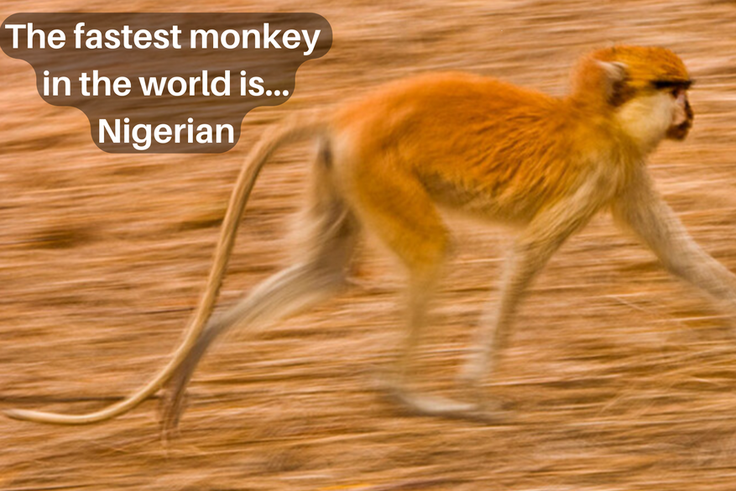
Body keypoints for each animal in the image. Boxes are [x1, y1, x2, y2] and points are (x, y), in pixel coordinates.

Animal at [7, 45, 732, 433]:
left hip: (344, 170)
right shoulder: (602, 167)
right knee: (432, 256)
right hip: (377, 168)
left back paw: (204, 346)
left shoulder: (623, 169)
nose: (691, 112)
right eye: (672, 89)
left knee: (326, 269)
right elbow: (525, 257)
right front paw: (477, 391)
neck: (595, 116)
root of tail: (346, 113)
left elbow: (678, 254)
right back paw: (403, 392)